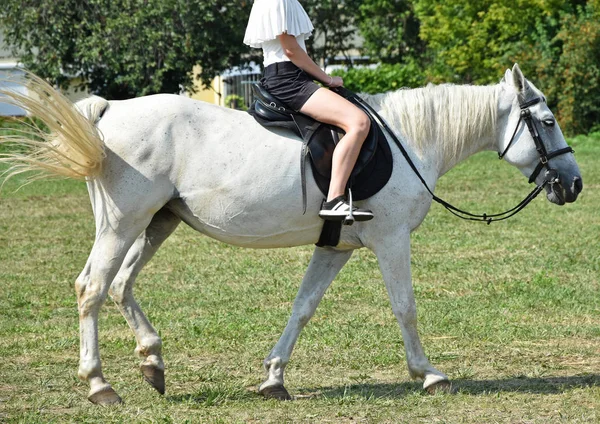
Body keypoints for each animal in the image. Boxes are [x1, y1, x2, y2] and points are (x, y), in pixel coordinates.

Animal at [0, 63, 580, 404]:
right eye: (548, 121)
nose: (573, 184)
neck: (410, 139)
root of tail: (110, 111)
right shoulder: (392, 240)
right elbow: (405, 307)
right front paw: (429, 374)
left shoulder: (337, 247)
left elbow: (302, 308)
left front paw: (274, 377)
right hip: (124, 223)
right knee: (93, 288)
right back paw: (101, 386)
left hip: (157, 223)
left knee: (121, 285)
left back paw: (153, 363)